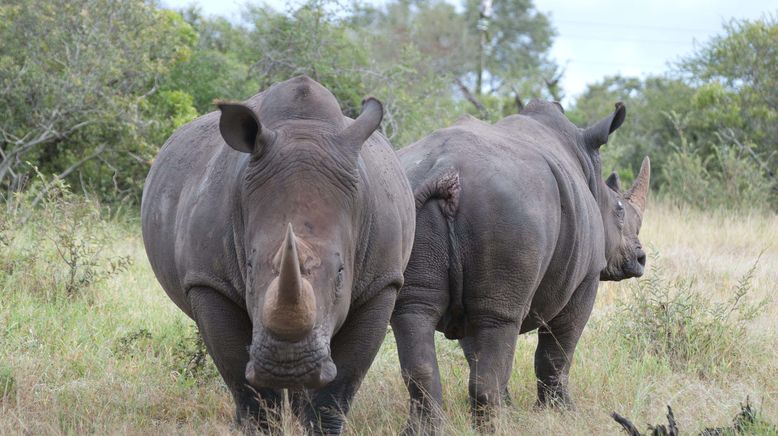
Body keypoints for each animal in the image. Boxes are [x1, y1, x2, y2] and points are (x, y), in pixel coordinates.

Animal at [142, 76, 416, 434]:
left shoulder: (381, 281)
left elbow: (340, 385)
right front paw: (258, 426)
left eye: (341, 273)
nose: (287, 365)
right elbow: (243, 380)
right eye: (248, 266)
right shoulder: (208, 280)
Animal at [392, 101, 652, 432]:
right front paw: (561, 413)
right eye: (619, 210)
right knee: (499, 318)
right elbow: (558, 349)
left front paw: (514, 409)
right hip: (508, 211)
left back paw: (425, 430)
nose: (640, 258)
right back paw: (494, 430)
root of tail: (446, 171)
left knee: (415, 312)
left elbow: (477, 350)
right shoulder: (587, 277)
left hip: (410, 204)